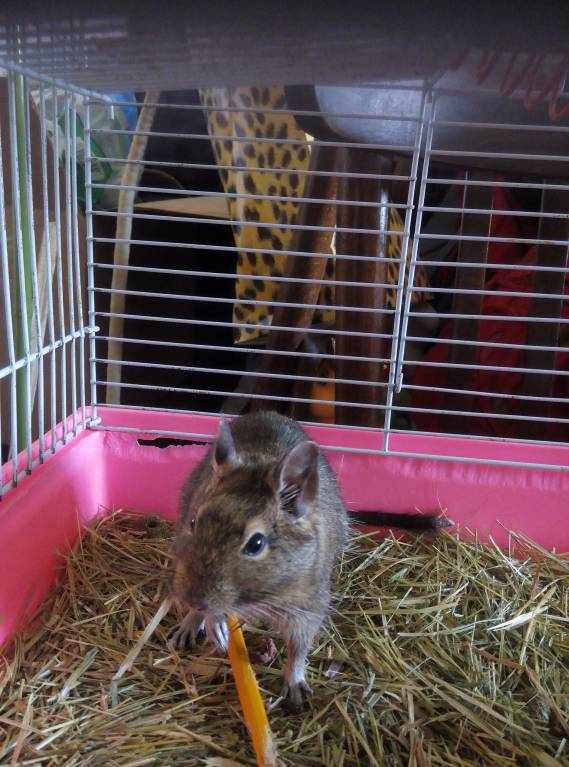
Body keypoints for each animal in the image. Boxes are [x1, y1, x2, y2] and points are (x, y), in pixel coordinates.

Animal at [170, 410, 448, 711]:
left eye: (256, 544)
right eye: (194, 522)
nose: (193, 600)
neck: (266, 595)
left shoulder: (309, 608)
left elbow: (299, 649)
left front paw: (295, 685)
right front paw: (212, 624)